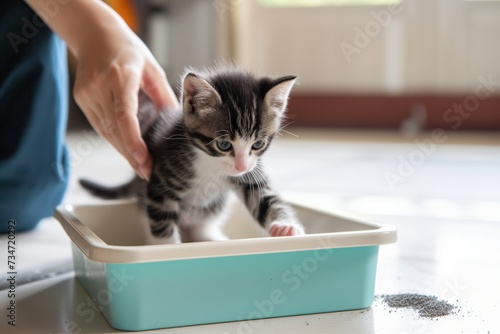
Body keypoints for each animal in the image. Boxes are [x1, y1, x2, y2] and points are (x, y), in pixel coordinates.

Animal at [81, 66, 304, 244]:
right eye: (224, 145)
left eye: (257, 144)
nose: (240, 166)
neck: (209, 162)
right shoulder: (161, 181)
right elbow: (162, 223)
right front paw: (166, 250)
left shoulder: (251, 172)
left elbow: (264, 198)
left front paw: (286, 226)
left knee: (201, 227)